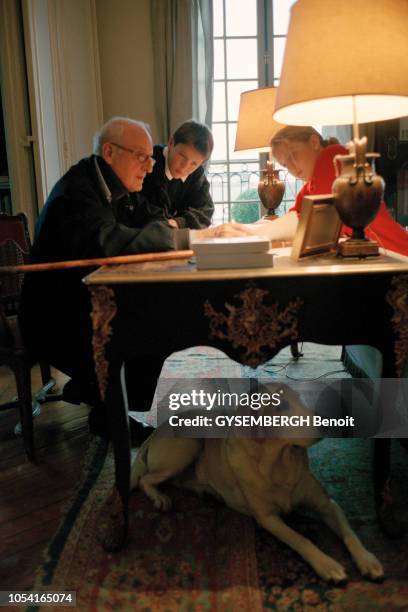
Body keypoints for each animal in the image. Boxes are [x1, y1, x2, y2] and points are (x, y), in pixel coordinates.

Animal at [131, 384, 382, 580]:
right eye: (281, 406)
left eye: (300, 399)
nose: (328, 422)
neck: (280, 464)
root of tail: (154, 432)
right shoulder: (268, 518)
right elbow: (301, 539)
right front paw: (326, 564)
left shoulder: (328, 504)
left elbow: (349, 532)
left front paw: (367, 559)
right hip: (189, 445)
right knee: (146, 478)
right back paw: (159, 497)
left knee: (178, 481)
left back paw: (207, 491)